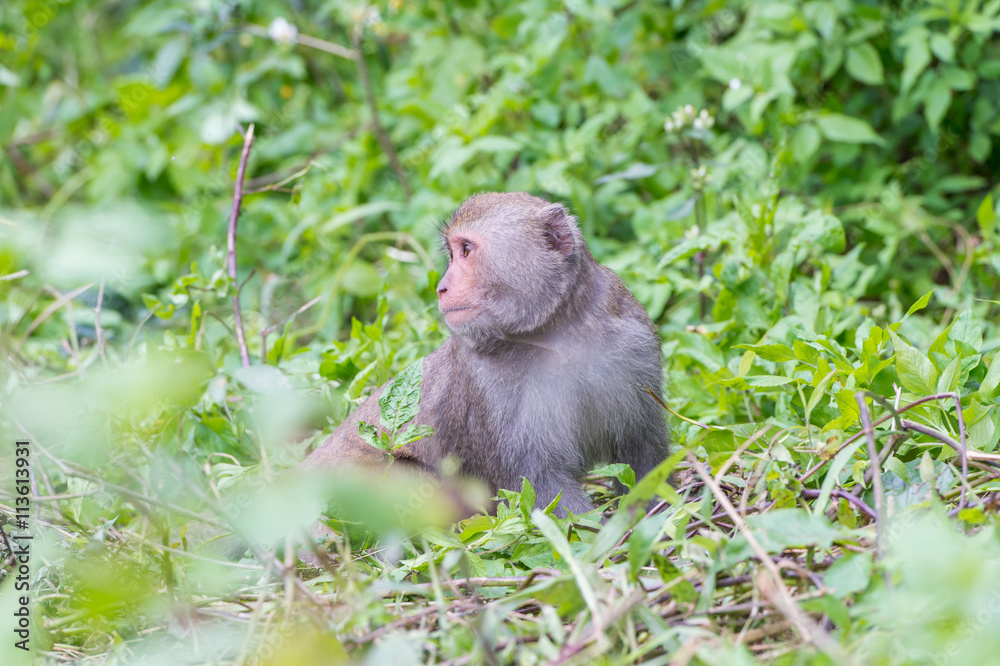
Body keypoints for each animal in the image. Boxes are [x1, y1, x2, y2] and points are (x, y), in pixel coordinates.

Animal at [300, 189, 668, 516]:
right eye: (452, 254)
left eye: (465, 250)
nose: (442, 287)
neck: (555, 332)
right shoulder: (486, 387)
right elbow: (539, 485)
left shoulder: (633, 341)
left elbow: (642, 451)